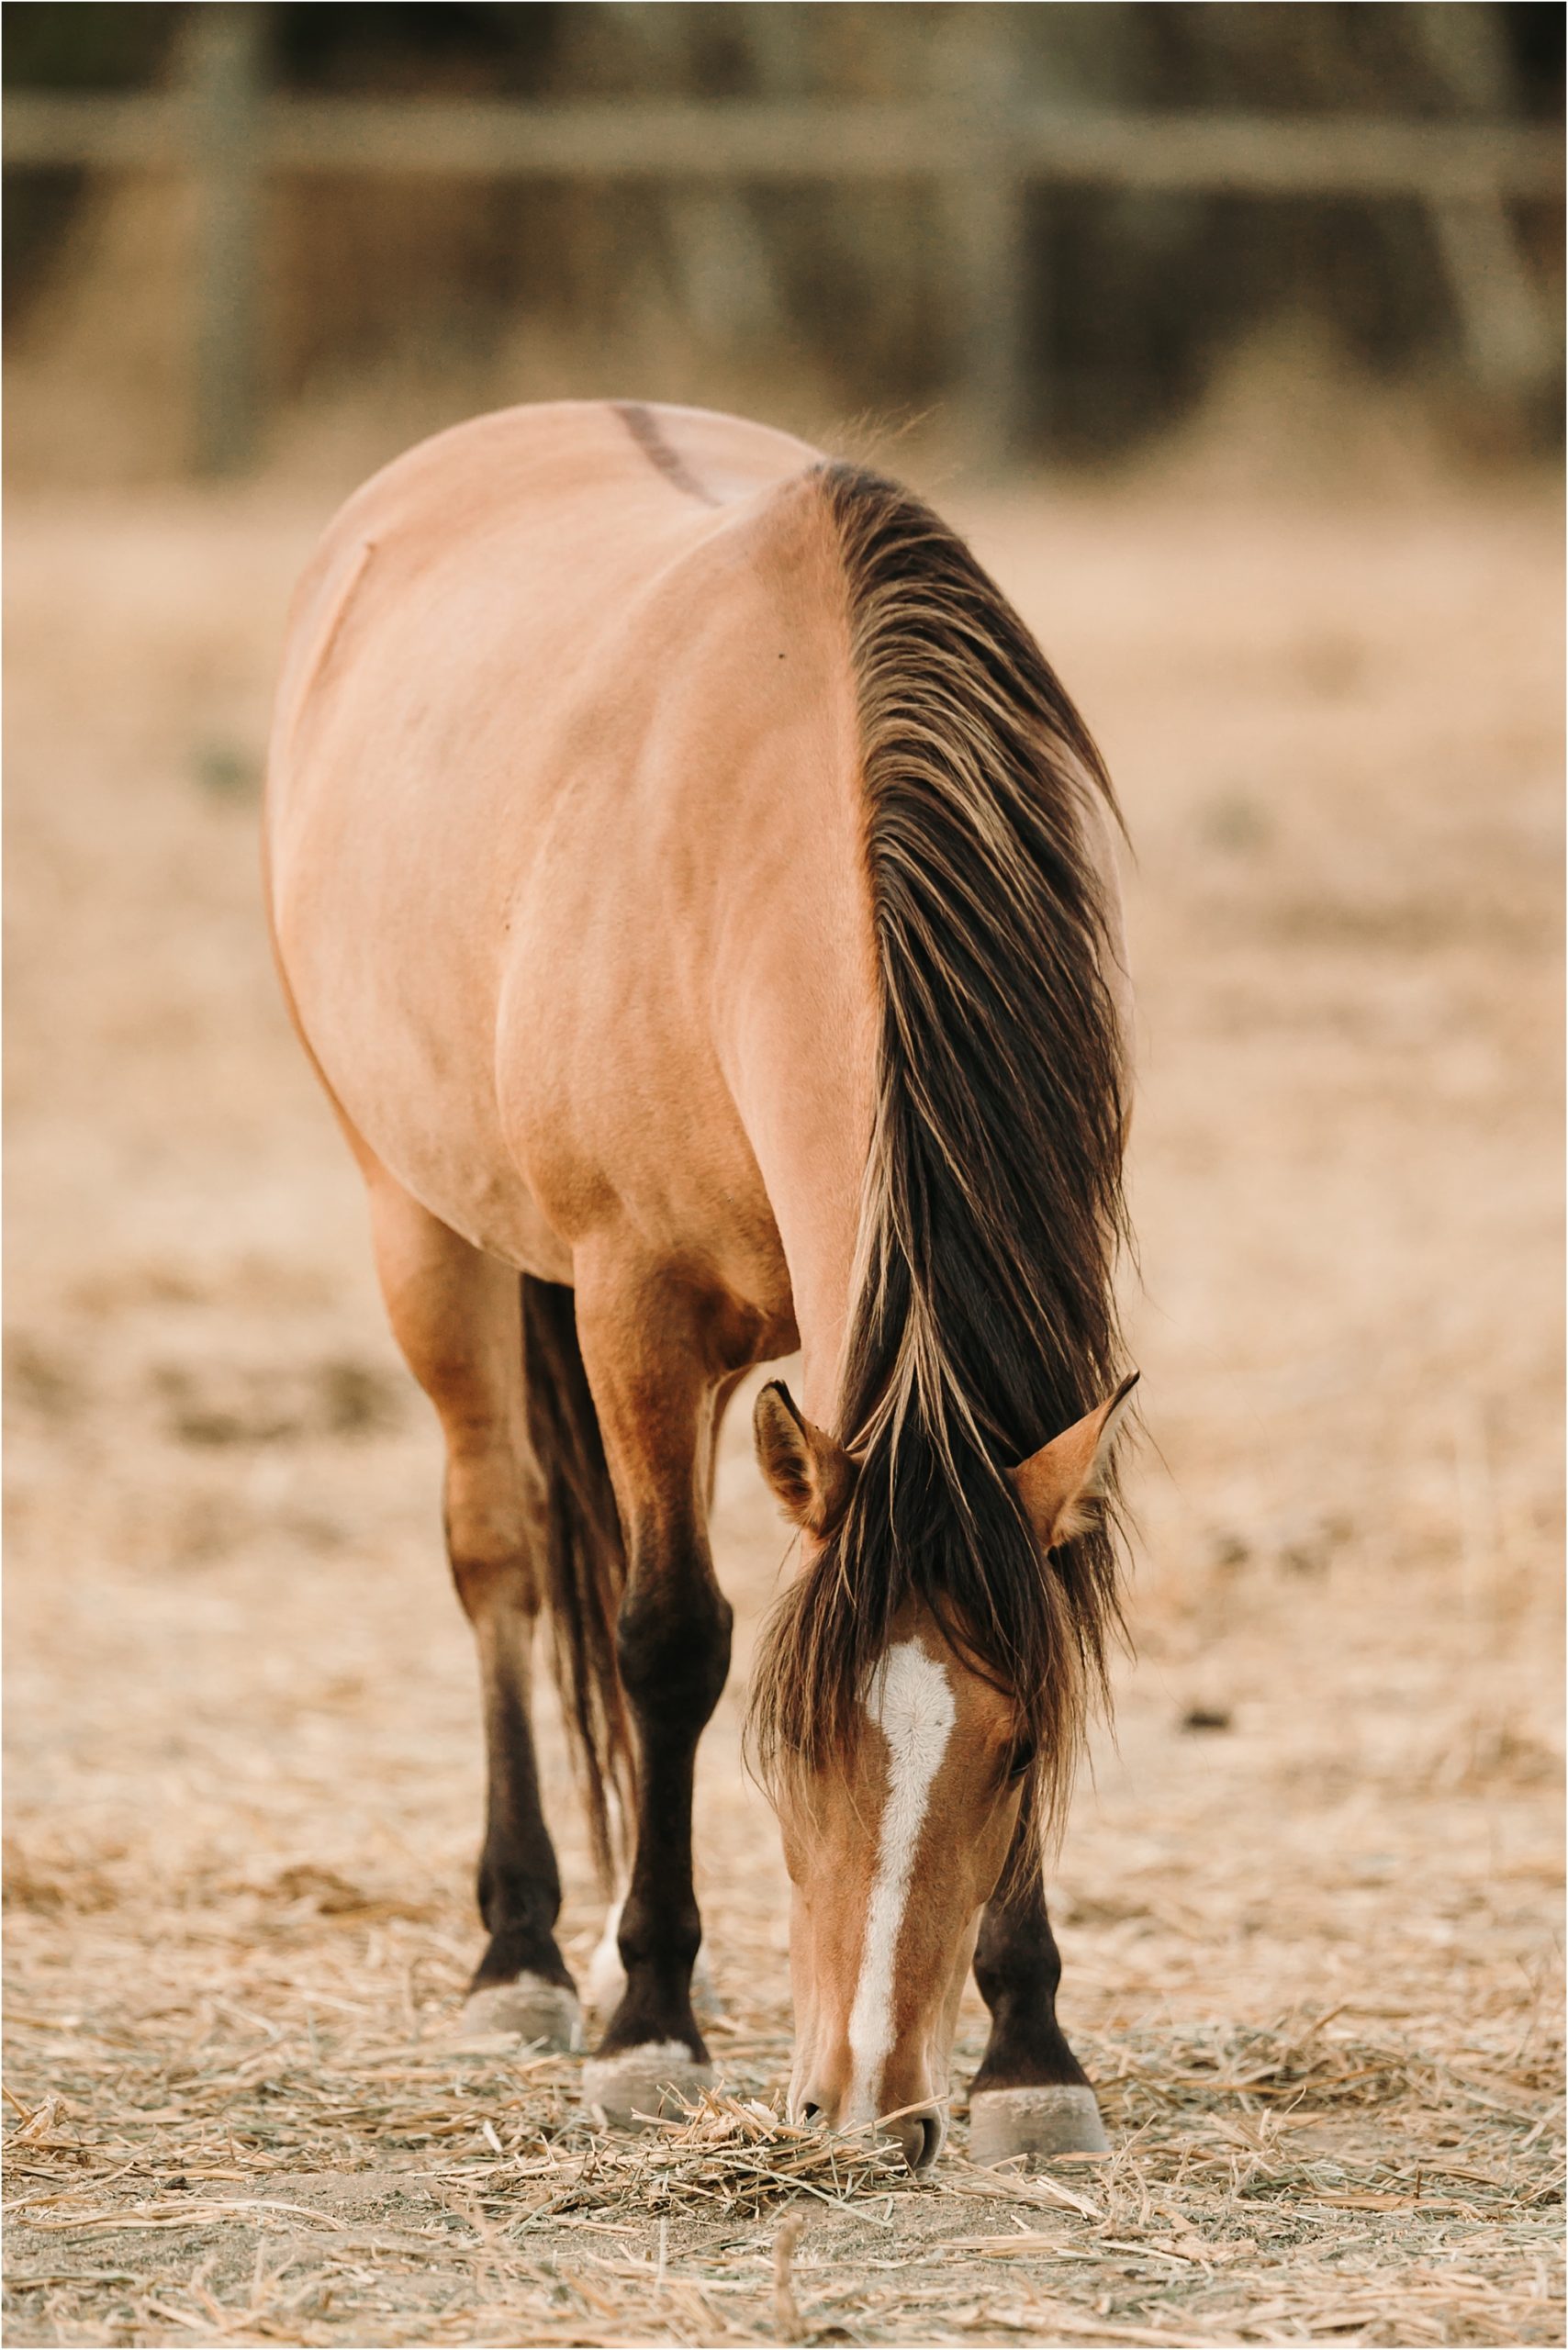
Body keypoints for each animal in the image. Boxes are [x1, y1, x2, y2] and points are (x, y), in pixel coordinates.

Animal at [265, 399, 1136, 2174]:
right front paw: (650, 2026)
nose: (872, 2104)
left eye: (1016, 1751)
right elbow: (666, 1638)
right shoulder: (639, 1317)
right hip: (424, 1231)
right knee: (504, 1557)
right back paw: (532, 1957)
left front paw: (1030, 2048)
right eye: (791, 1750)